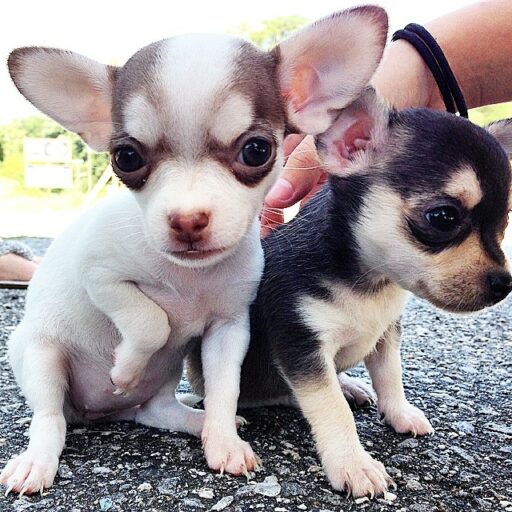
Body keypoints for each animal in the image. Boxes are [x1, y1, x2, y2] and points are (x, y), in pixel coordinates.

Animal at [0, 7, 388, 496]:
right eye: (126, 158)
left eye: (256, 150)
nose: (186, 219)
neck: (190, 278)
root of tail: (101, 414)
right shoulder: (100, 275)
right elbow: (153, 321)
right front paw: (125, 368)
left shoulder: (228, 330)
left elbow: (223, 389)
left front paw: (222, 442)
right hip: (38, 355)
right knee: (49, 417)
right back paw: (37, 460)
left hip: (163, 378)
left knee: (157, 411)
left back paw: (196, 421)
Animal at [186, 90, 512, 498]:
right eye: (443, 217)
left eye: (503, 223)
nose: (505, 283)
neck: (371, 283)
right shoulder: (302, 345)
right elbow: (330, 407)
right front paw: (354, 464)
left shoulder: (386, 332)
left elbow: (390, 374)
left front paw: (399, 412)